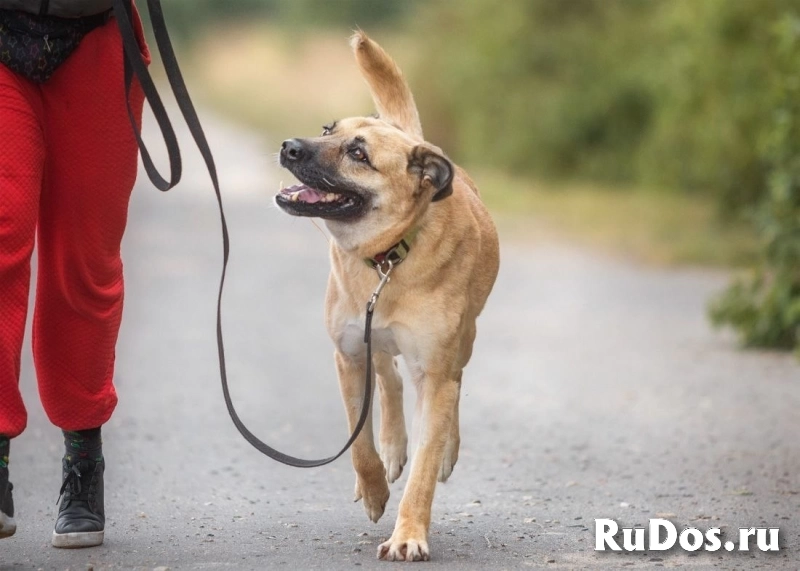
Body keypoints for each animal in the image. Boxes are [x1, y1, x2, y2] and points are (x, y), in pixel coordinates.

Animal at [276, 32, 500, 564]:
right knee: (389, 380)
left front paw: (408, 534)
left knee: (452, 386)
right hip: (371, 338)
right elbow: (359, 446)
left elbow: (424, 469)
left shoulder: (434, 371)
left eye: (358, 154)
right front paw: (375, 487)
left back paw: (442, 447)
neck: (387, 256)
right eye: (327, 130)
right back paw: (393, 447)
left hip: (463, 341)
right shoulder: (349, 355)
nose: (289, 146)